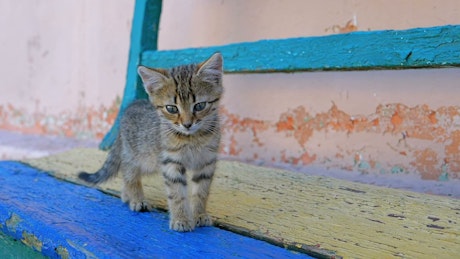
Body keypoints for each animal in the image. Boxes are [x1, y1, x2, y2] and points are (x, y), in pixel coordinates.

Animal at [79, 52, 223, 232]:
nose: (187, 124)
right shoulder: (171, 162)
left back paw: (126, 195)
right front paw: (181, 218)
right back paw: (136, 198)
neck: (192, 138)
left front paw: (199, 214)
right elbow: (177, 193)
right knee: (129, 174)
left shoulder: (206, 162)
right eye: (171, 108)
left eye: (200, 106)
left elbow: (201, 192)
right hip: (136, 157)